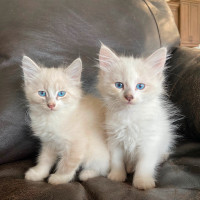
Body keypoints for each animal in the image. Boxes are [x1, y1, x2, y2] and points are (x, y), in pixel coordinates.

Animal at [22, 55, 109, 184]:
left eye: (61, 93)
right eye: (42, 93)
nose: (51, 105)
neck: (53, 119)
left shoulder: (76, 144)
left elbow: (68, 164)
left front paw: (59, 178)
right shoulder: (49, 143)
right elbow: (44, 159)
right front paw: (38, 173)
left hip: (98, 152)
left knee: (103, 168)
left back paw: (86, 174)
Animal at [97, 44, 177, 190]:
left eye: (140, 86)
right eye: (119, 85)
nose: (129, 97)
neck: (130, 116)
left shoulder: (149, 141)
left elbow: (144, 164)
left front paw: (143, 182)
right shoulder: (114, 139)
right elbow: (117, 160)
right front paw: (117, 176)